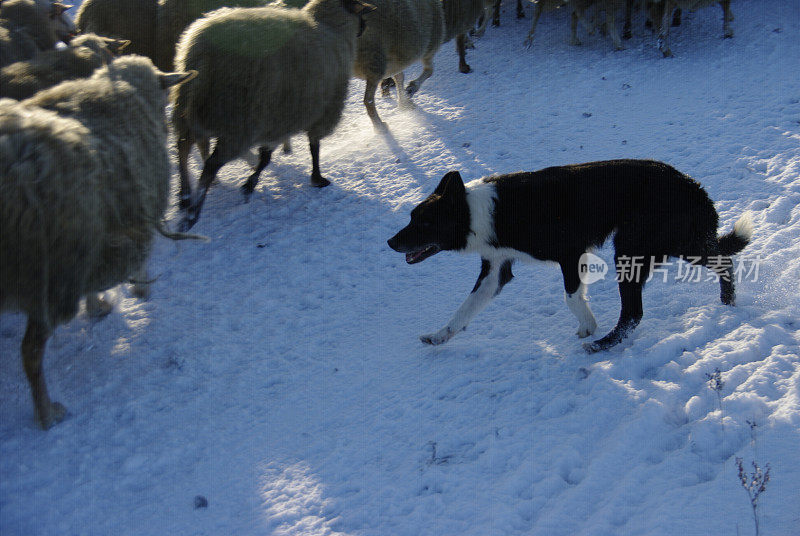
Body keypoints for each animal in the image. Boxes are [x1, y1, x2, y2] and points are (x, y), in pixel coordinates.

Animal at [0, 56, 194, 430]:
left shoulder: (97, 237)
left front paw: (96, 307)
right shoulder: (132, 215)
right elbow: (141, 261)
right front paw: (140, 292)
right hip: (51, 273)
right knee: (30, 353)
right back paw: (47, 414)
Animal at [171, 0, 376, 229]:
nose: (365, 25)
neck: (332, 28)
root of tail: (201, 53)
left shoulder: (279, 119)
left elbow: (267, 157)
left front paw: (250, 183)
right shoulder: (317, 111)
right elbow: (312, 147)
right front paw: (317, 178)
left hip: (189, 110)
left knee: (182, 147)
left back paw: (184, 196)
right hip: (240, 120)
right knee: (210, 165)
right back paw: (192, 214)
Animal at [354, 0, 446, 130]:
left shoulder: (396, 61)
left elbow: (399, 77)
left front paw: (404, 103)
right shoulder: (429, 45)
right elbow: (429, 71)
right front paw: (411, 89)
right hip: (374, 60)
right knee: (368, 100)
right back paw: (380, 126)